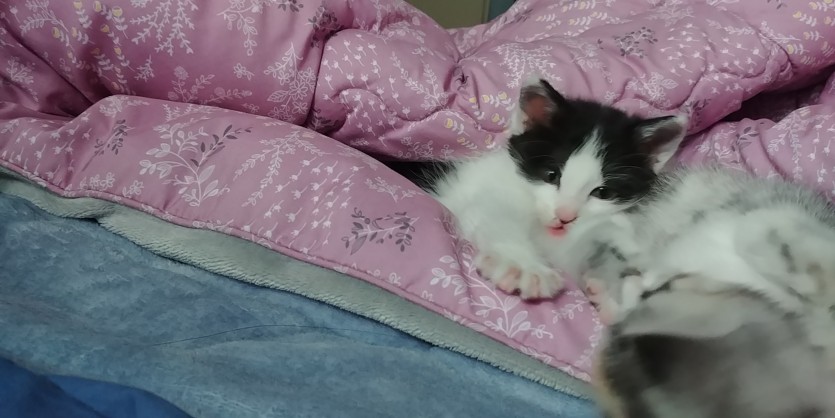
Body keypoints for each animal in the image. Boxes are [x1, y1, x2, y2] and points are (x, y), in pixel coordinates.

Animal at [390, 77, 688, 299]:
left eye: (603, 193)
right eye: (551, 175)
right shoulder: (482, 193)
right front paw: (523, 264)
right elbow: (494, 216)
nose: (565, 217)